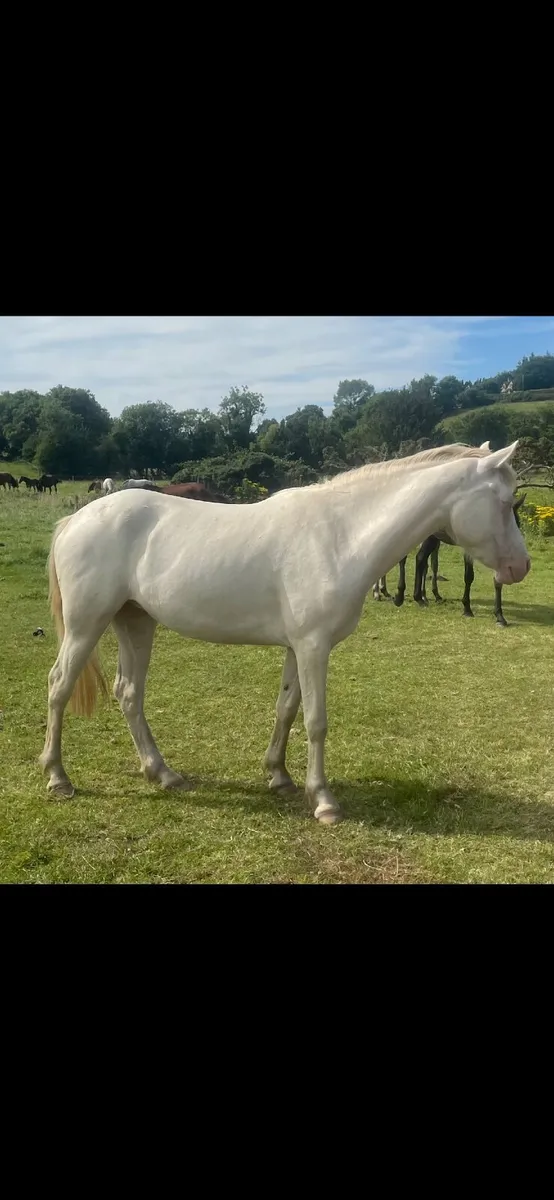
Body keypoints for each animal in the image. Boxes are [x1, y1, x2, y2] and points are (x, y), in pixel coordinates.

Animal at [373, 494, 526, 627]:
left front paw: (499, 616)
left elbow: (496, 581)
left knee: (420, 560)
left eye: (517, 524)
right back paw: (404, 596)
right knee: (416, 558)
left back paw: (412, 597)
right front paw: (467, 609)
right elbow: (469, 576)